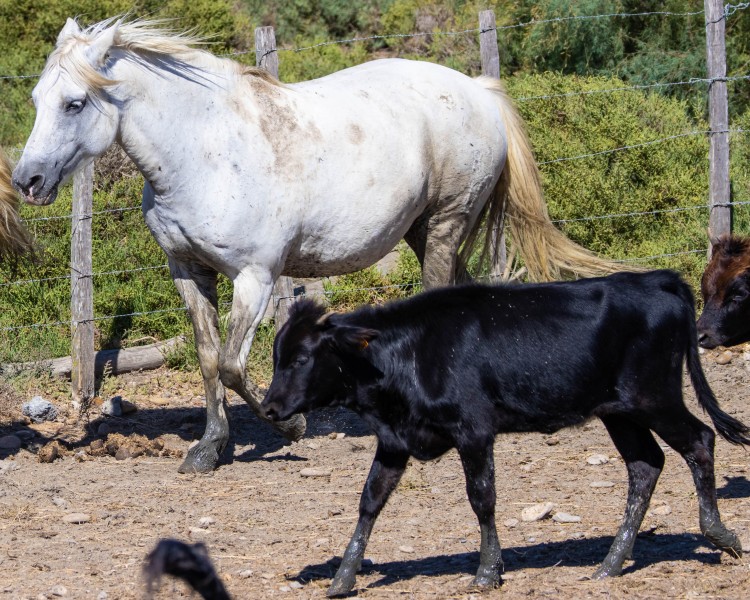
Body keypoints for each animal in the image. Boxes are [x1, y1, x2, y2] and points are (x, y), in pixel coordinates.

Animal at [13, 16, 624, 472]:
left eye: (74, 103)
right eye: (38, 97)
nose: (27, 181)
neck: (204, 150)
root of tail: (480, 89)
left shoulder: (256, 278)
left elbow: (233, 363)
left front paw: (291, 423)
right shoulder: (187, 271)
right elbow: (210, 360)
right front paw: (210, 448)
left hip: (446, 223)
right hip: (425, 230)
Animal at [262, 270, 748, 596]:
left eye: (301, 359)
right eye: (276, 357)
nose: (269, 408)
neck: (411, 353)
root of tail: (655, 279)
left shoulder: (474, 430)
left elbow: (482, 498)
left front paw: (487, 570)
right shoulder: (395, 441)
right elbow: (369, 502)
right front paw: (343, 576)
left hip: (654, 397)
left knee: (700, 442)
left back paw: (718, 534)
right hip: (620, 412)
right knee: (645, 466)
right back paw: (611, 562)